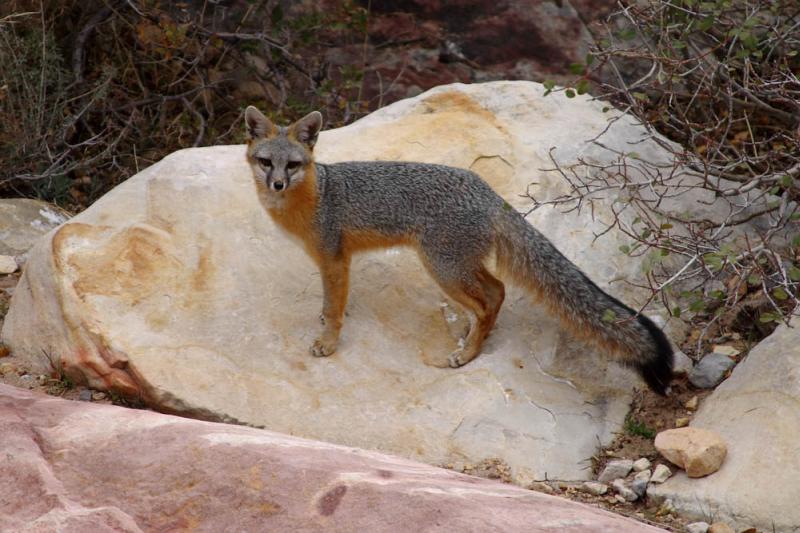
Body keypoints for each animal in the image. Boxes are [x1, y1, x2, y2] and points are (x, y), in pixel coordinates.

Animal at [244, 106, 676, 392]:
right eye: (266, 162)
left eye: (292, 165)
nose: (277, 184)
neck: (312, 198)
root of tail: (489, 193)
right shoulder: (331, 262)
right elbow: (329, 302)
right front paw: (322, 322)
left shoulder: (334, 258)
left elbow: (335, 308)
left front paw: (328, 343)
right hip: (458, 264)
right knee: (498, 291)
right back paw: (473, 338)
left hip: (442, 267)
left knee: (489, 299)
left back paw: (467, 353)